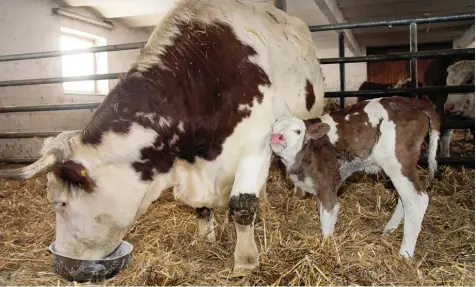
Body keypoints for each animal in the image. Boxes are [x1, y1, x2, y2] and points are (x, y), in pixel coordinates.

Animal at [0, 0, 326, 276]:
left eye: (61, 204)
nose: (63, 259)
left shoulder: (255, 145)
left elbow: (242, 205)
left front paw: (245, 261)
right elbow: (201, 207)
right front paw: (205, 239)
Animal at [270, 96, 440, 258]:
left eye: (297, 131)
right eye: (273, 129)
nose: (276, 137)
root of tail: (414, 103)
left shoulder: (326, 184)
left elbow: (327, 216)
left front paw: (325, 245)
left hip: (398, 162)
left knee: (416, 200)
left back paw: (405, 254)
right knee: (404, 199)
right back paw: (388, 231)